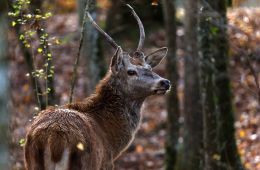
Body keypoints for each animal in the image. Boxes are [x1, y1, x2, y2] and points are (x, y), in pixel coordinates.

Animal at [24, 3, 171, 170]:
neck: (112, 143)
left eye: (150, 68)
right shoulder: (106, 163)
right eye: (131, 72)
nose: (165, 82)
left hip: (30, 161)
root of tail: (52, 139)